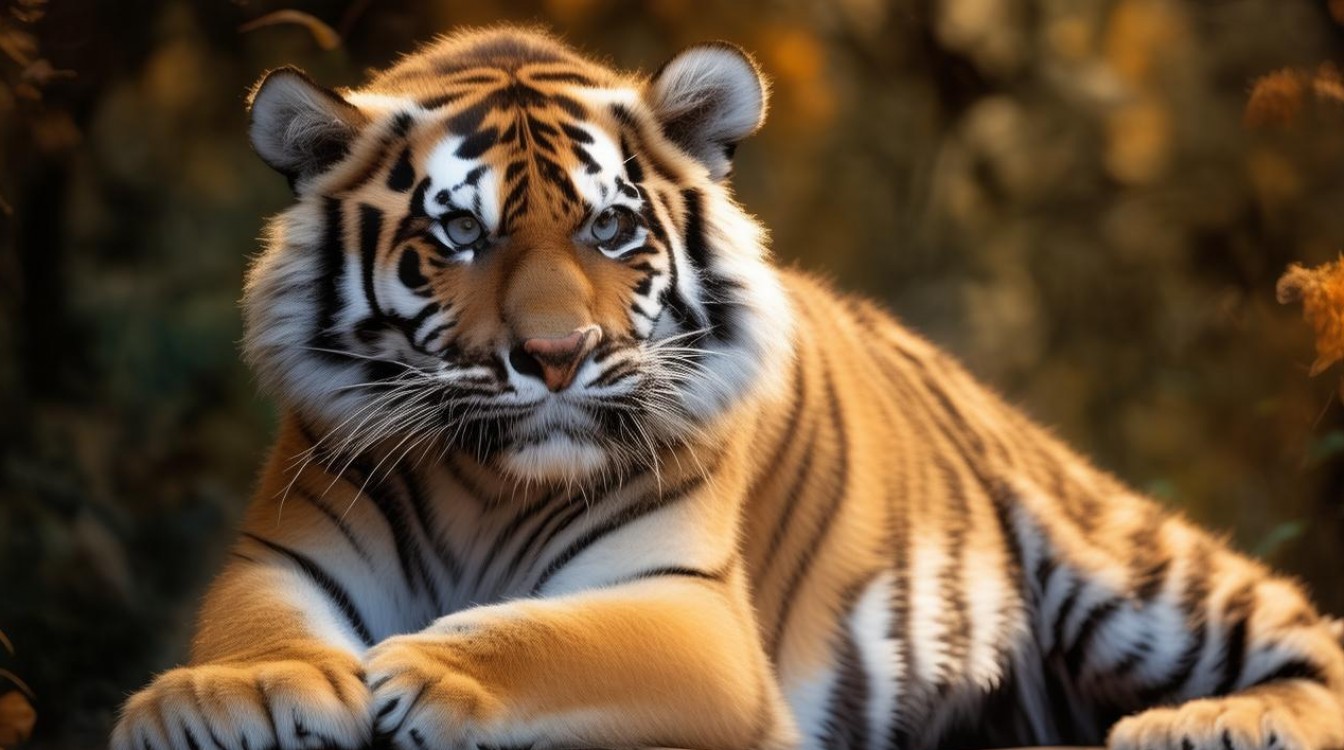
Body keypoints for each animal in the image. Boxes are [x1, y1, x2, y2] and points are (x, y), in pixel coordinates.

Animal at [112, 26, 1344, 750]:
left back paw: (1200, 726)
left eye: (609, 230)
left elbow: (551, 640)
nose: (555, 356)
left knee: (1307, 634)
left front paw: (422, 672)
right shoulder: (279, 553)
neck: (488, 492)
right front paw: (238, 695)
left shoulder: (688, 607)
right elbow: (250, 631)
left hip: (1122, 557)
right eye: (459, 236)